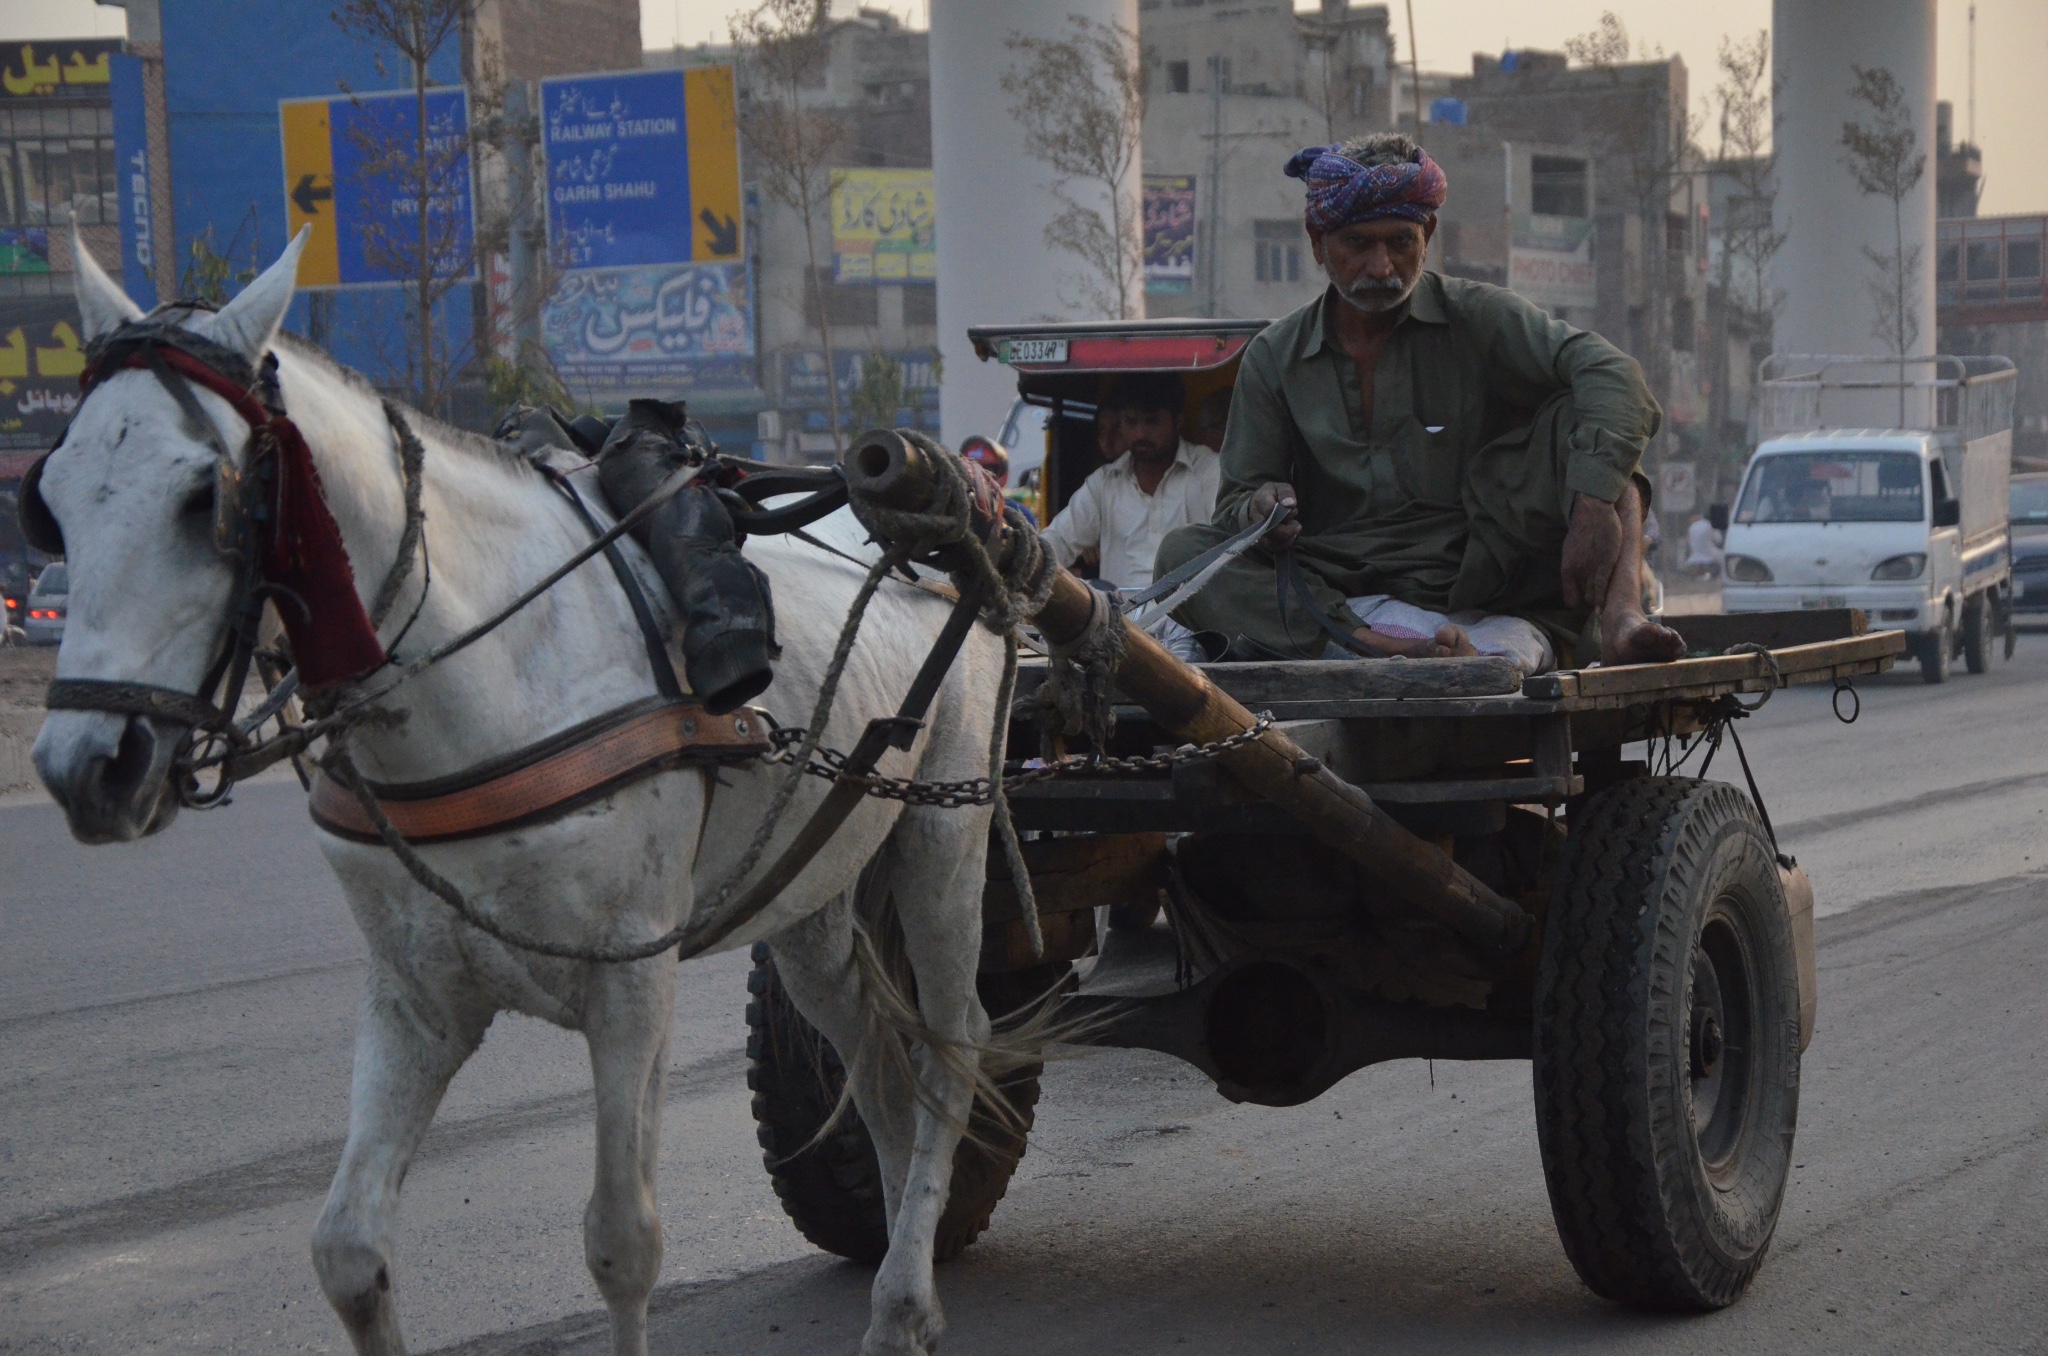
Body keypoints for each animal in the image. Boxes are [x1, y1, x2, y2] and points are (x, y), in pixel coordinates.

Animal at [32, 228, 1007, 1351]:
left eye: (206, 498)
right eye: (50, 498)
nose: (84, 767)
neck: (485, 669)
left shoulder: (633, 983)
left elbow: (623, 1241)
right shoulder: (415, 995)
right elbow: (346, 1251)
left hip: (945, 839)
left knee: (949, 1052)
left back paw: (901, 1298)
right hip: (809, 892)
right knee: (879, 1071)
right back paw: (904, 1289)